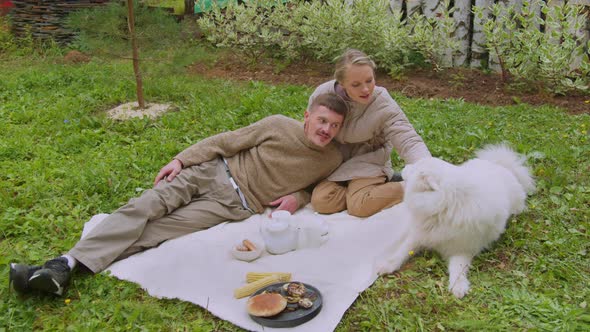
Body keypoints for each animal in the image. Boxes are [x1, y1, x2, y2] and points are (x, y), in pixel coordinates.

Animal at [380, 145, 536, 298]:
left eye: (416, 168)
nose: (405, 166)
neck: (445, 207)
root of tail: (500, 165)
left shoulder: (462, 249)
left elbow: (458, 268)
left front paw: (458, 286)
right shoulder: (420, 235)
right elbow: (402, 250)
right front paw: (387, 265)